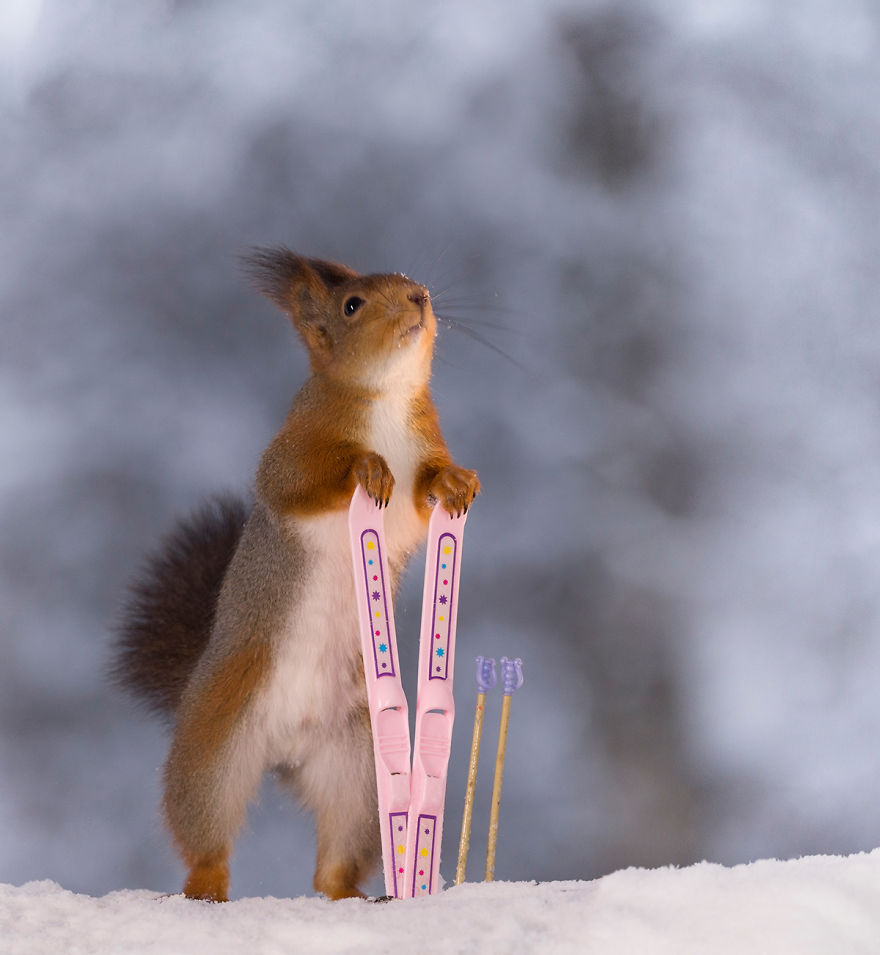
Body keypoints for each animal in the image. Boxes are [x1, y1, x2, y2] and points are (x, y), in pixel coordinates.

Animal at [113, 248, 480, 903]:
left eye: (407, 283)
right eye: (352, 305)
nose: (420, 297)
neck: (386, 398)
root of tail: (287, 748)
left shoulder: (421, 459)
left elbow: (425, 493)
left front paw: (455, 480)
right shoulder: (291, 452)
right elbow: (302, 483)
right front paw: (364, 467)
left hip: (357, 771)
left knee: (333, 860)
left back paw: (353, 895)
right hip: (216, 746)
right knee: (204, 832)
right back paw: (206, 886)